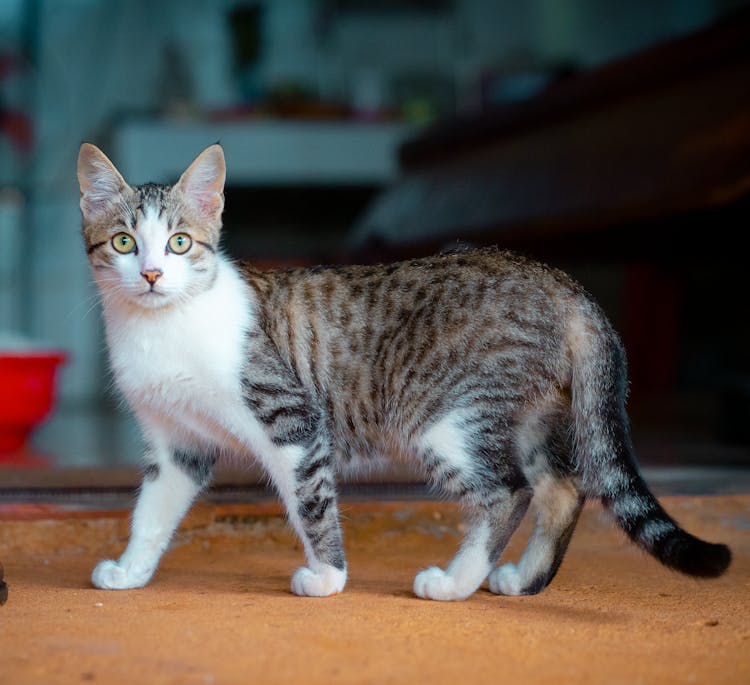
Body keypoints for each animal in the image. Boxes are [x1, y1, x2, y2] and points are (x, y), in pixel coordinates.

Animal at [78, 142, 736, 596]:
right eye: (123, 243)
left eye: (180, 243)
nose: (152, 274)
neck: (162, 329)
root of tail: (556, 278)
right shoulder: (176, 445)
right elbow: (151, 512)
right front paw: (132, 571)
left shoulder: (292, 422)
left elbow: (312, 503)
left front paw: (328, 578)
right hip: (525, 412)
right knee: (562, 486)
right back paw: (523, 579)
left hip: (449, 417)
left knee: (510, 492)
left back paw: (455, 583)